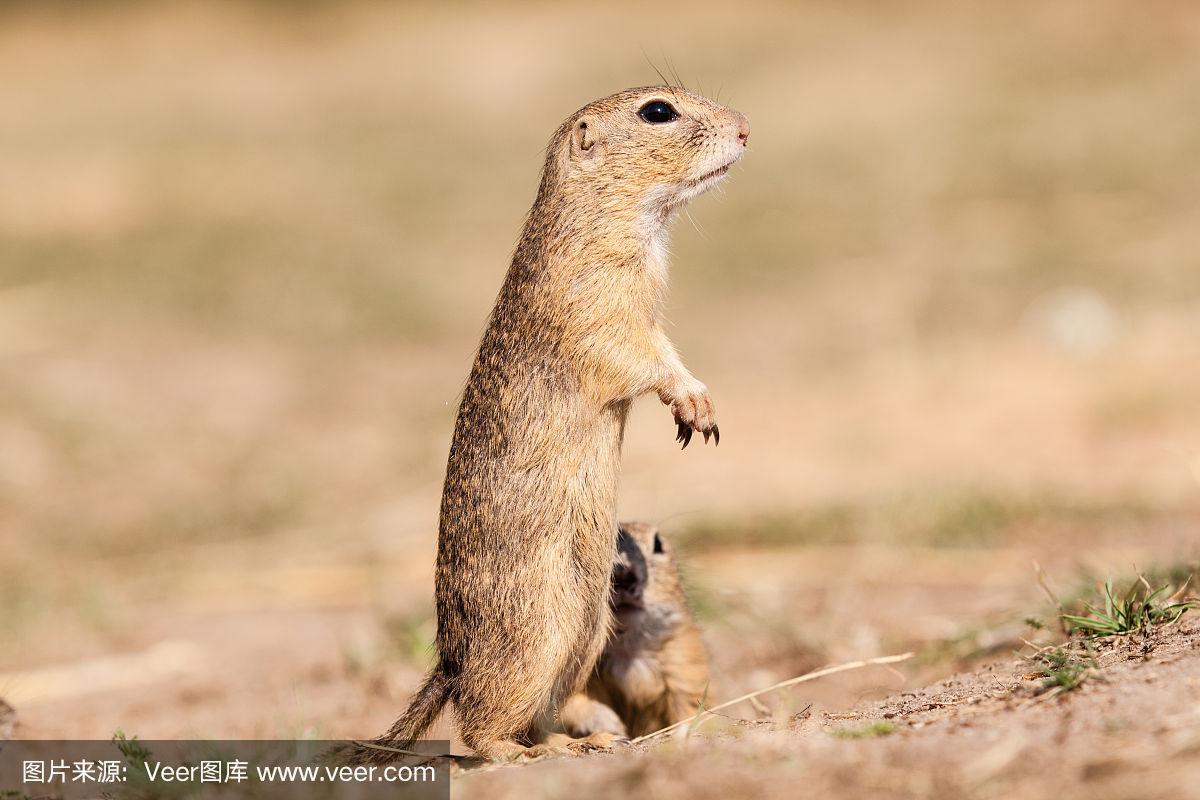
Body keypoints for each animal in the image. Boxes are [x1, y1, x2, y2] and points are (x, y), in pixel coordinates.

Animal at [561, 522, 710, 743]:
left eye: (658, 543)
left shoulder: (684, 664)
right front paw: (609, 723)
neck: (627, 650)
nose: (623, 570)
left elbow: (691, 703)